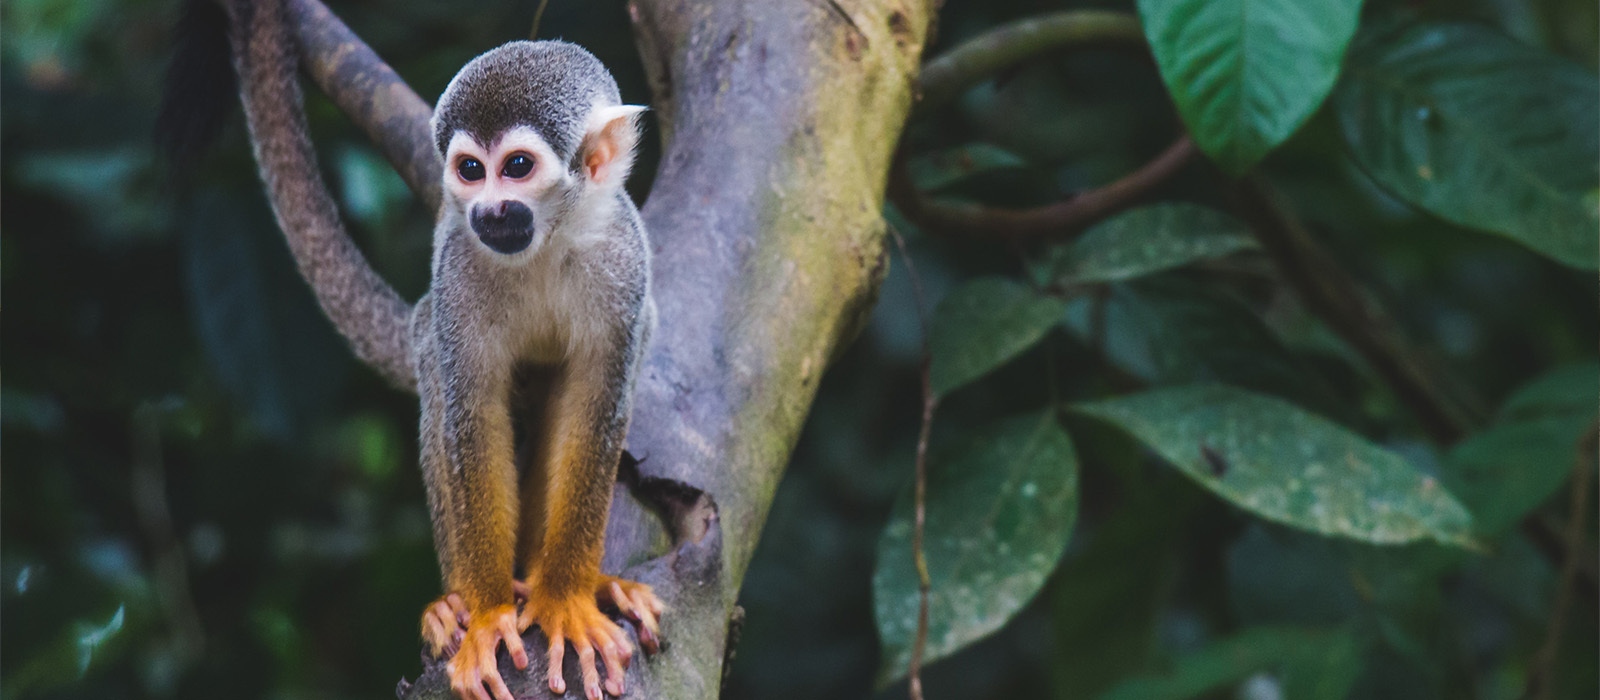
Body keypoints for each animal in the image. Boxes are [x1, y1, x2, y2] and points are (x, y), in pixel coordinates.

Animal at [219, 1, 662, 700]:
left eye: (517, 168)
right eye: (471, 170)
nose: (490, 211)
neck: (547, 242)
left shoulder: (624, 258)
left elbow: (597, 405)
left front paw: (567, 598)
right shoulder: (457, 266)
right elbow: (470, 415)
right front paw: (486, 616)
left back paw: (584, 583)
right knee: (438, 378)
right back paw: (454, 605)